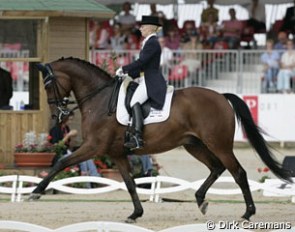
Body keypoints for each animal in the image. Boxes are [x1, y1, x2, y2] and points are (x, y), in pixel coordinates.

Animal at [33, 56, 294, 223]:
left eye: (48, 84)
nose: (58, 115)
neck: (99, 99)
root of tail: (221, 96)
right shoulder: (116, 152)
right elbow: (129, 183)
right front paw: (135, 214)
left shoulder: (94, 147)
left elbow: (60, 163)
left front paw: (35, 192)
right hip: (194, 145)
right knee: (217, 168)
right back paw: (200, 200)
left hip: (218, 144)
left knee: (238, 172)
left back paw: (248, 213)